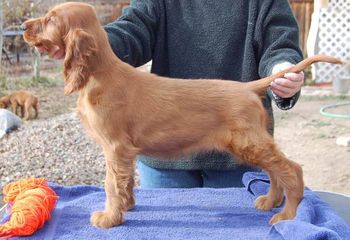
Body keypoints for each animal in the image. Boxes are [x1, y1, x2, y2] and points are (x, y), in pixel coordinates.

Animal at [22, 2, 342, 229]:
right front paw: (127, 207)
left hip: (248, 142)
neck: (99, 74)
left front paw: (109, 218)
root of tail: (248, 87)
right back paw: (270, 202)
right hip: (252, 143)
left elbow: (111, 185)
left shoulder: (114, 147)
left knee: (291, 169)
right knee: (275, 170)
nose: (23, 25)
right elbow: (124, 182)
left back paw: (288, 215)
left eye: (50, 19)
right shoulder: (124, 153)